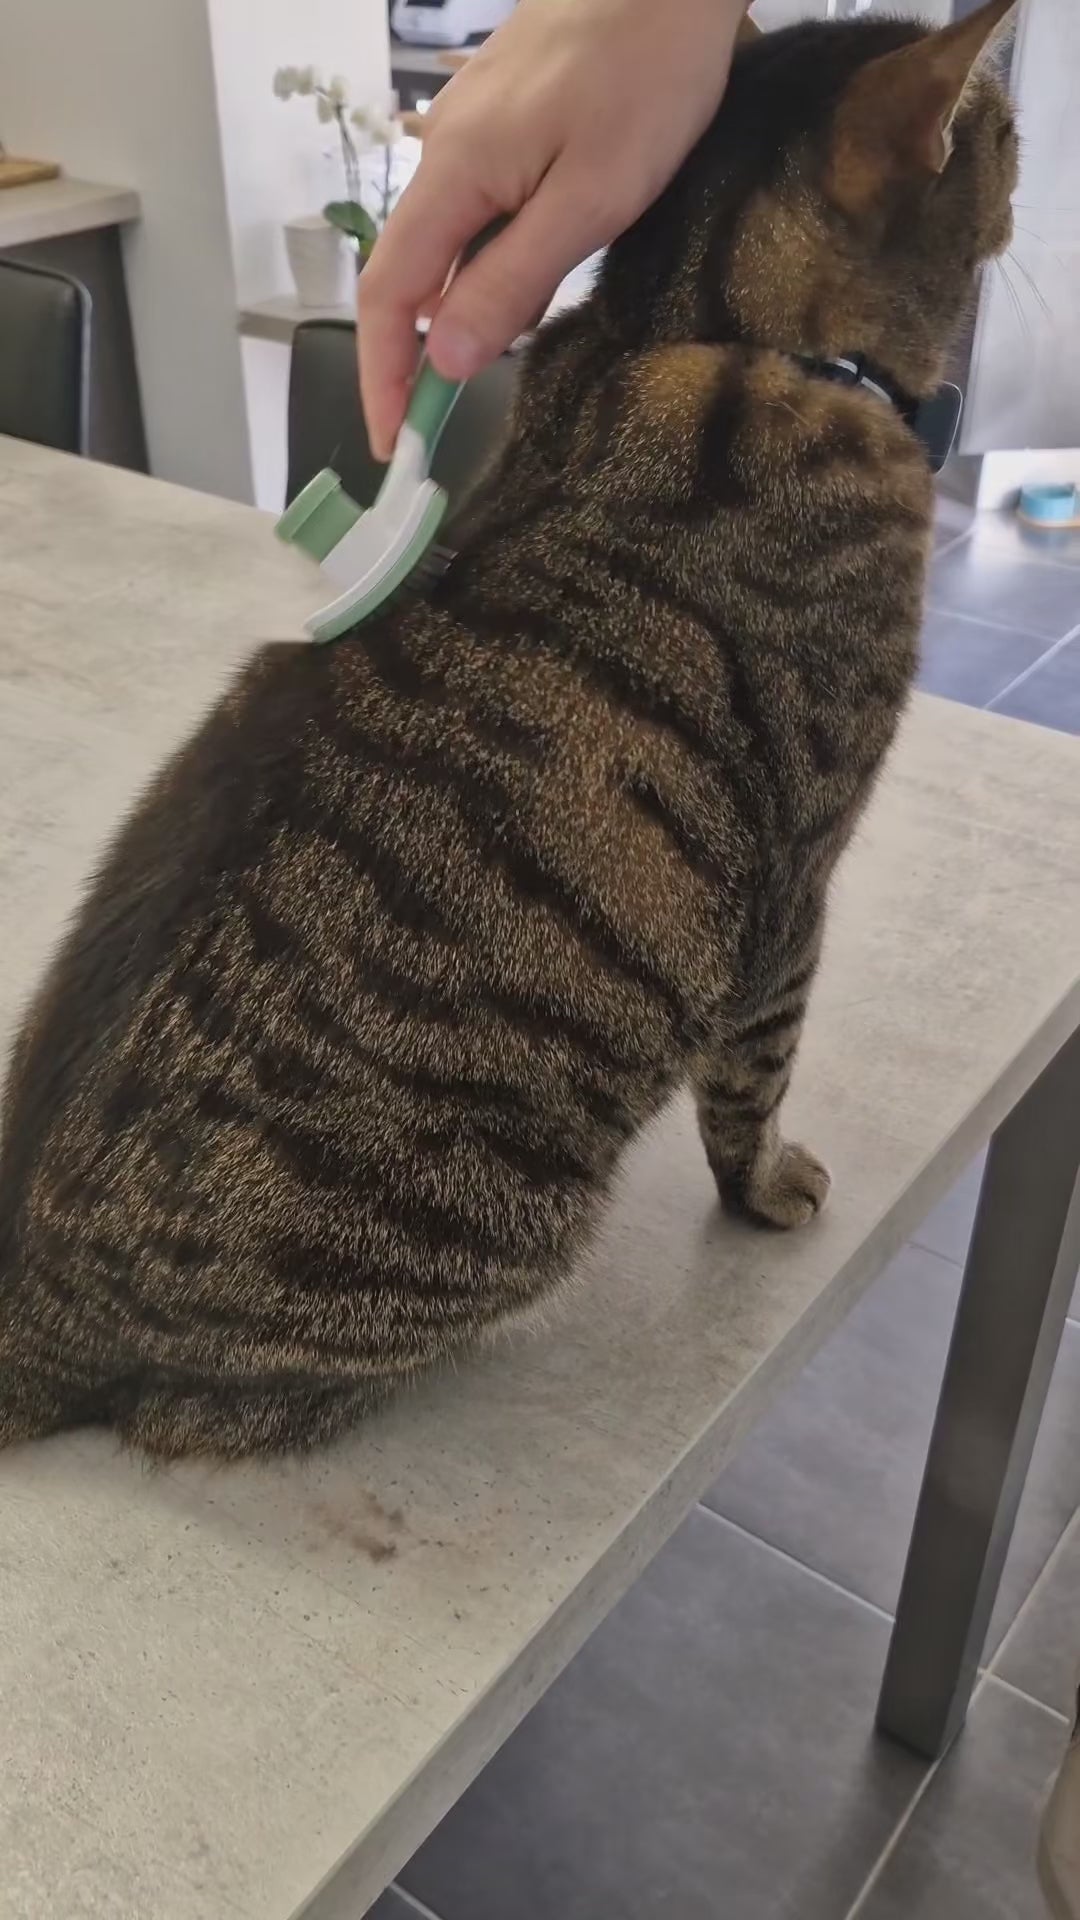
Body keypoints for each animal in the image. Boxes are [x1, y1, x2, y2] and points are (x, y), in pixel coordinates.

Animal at [0, 1, 1018, 1460]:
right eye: (1004, 129)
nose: (1030, 125)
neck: (691, 320)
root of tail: (29, 1309)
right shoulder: (795, 889)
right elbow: (755, 1079)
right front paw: (770, 1187)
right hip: (490, 1231)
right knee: (196, 1413)